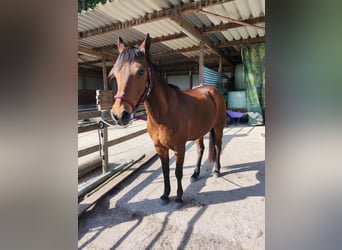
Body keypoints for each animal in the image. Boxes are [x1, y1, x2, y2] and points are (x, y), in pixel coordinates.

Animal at [110, 33, 227, 205]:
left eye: (141, 72)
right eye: (115, 74)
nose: (119, 115)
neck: (163, 115)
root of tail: (213, 91)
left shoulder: (179, 148)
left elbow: (178, 172)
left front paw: (178, 196)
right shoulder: (160, 148)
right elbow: (165, 172)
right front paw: (165, 195)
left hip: (218, 127)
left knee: (218, 147)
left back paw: (217, 170)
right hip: (199, 132)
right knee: (200, 149)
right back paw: (195, 173)